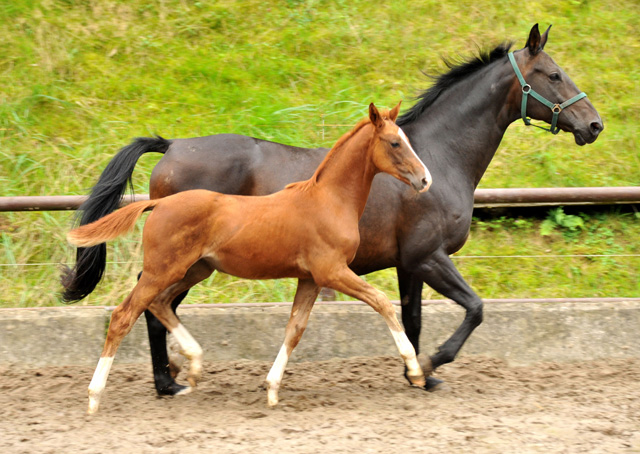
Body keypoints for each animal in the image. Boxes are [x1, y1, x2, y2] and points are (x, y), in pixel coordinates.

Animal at [67, 104, 432, 414]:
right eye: (395, 142)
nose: (425, 179)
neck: (328, 199)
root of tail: (158, 204)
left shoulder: (310, 278)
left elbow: (295, 329)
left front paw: (271, 388)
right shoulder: (332, 271)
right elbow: (382, 302)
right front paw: (415, 370)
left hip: (194, 270)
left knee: (159, 304)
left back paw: (192, 366)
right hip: (164, 269)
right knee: (124, 316)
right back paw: (96, 396)